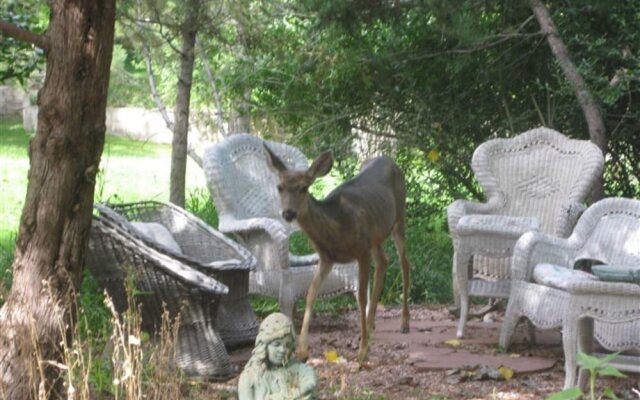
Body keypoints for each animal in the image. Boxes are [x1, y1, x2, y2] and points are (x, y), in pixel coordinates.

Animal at [264, 145, 410, 364]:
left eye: (304, 188)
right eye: (279, 187)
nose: (289, 213)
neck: (337, 226)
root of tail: (389, 160)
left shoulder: (361, 251)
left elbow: (361, 298)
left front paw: (362, 352)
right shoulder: (327, 258)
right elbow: (311, 293)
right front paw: (302, 351)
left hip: (399, 216)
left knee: (404, 263)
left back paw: (403, 323)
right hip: (375, 236)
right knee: (384, 261)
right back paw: (370, 327)